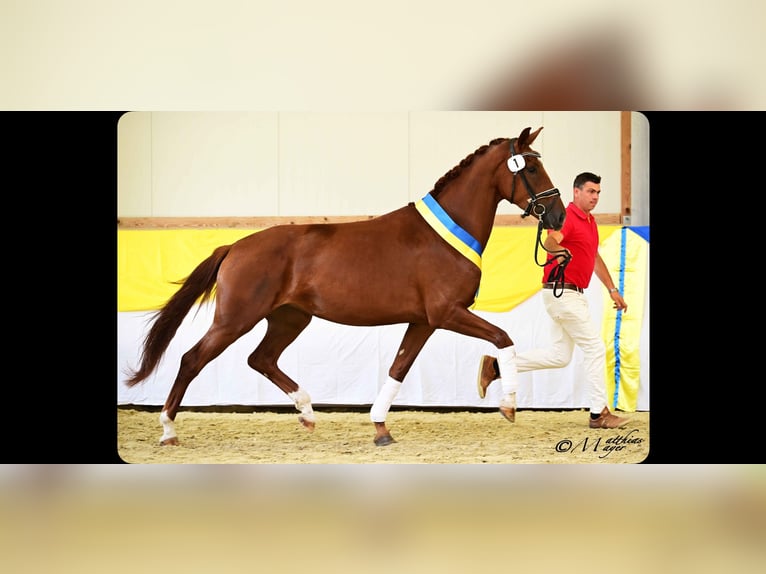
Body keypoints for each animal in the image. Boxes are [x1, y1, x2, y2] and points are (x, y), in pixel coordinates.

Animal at [124, 126, 566, 447]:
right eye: (530, 169)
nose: (558, 215)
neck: (444, 235)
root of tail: (235, 246)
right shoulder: (447, 313)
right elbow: (504, 338)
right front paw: (508, 406)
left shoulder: (423, 321)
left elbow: (398, 368)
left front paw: (381, 429)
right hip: (236, 319)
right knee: (192, 359)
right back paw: (168, 431)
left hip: (289, 319)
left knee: (261, 359)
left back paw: (306, 412)